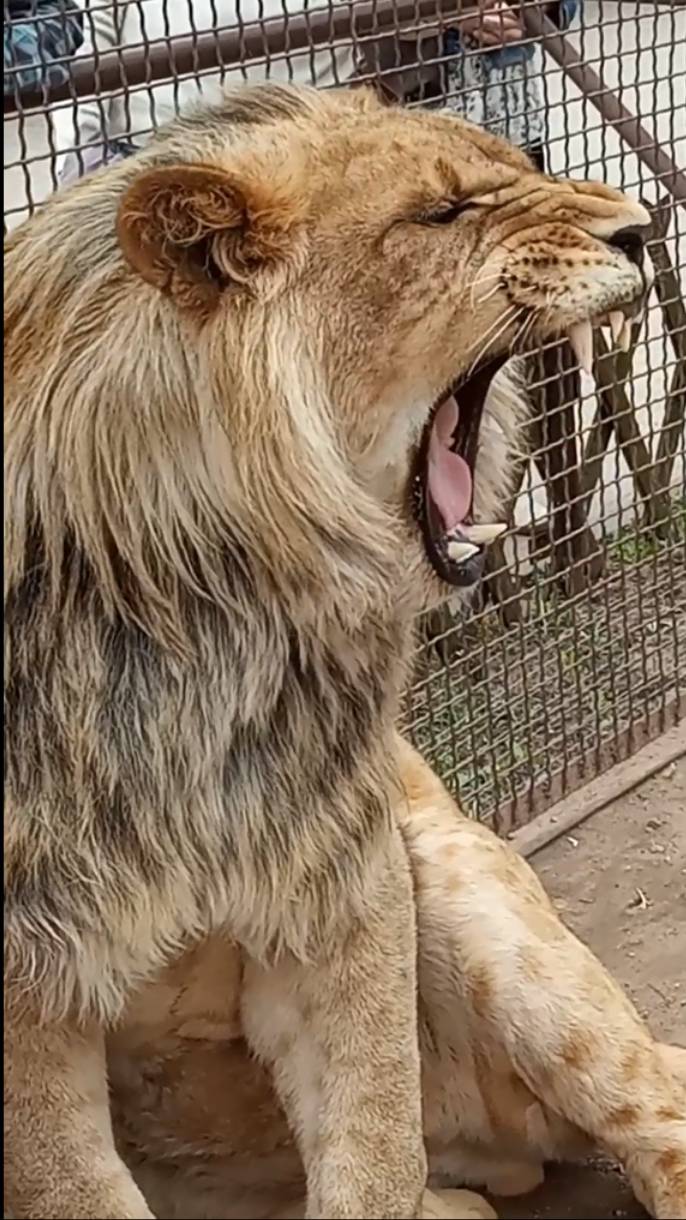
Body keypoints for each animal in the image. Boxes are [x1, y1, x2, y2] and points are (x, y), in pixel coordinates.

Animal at [5, 81, 678, 1220]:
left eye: (521, 164)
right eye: (442, 213)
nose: (639, 227)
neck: (201, 624)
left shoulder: (341, 886)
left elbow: (371, 1152)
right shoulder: (28, 1000)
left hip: (458, 877)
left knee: (653, 1110)